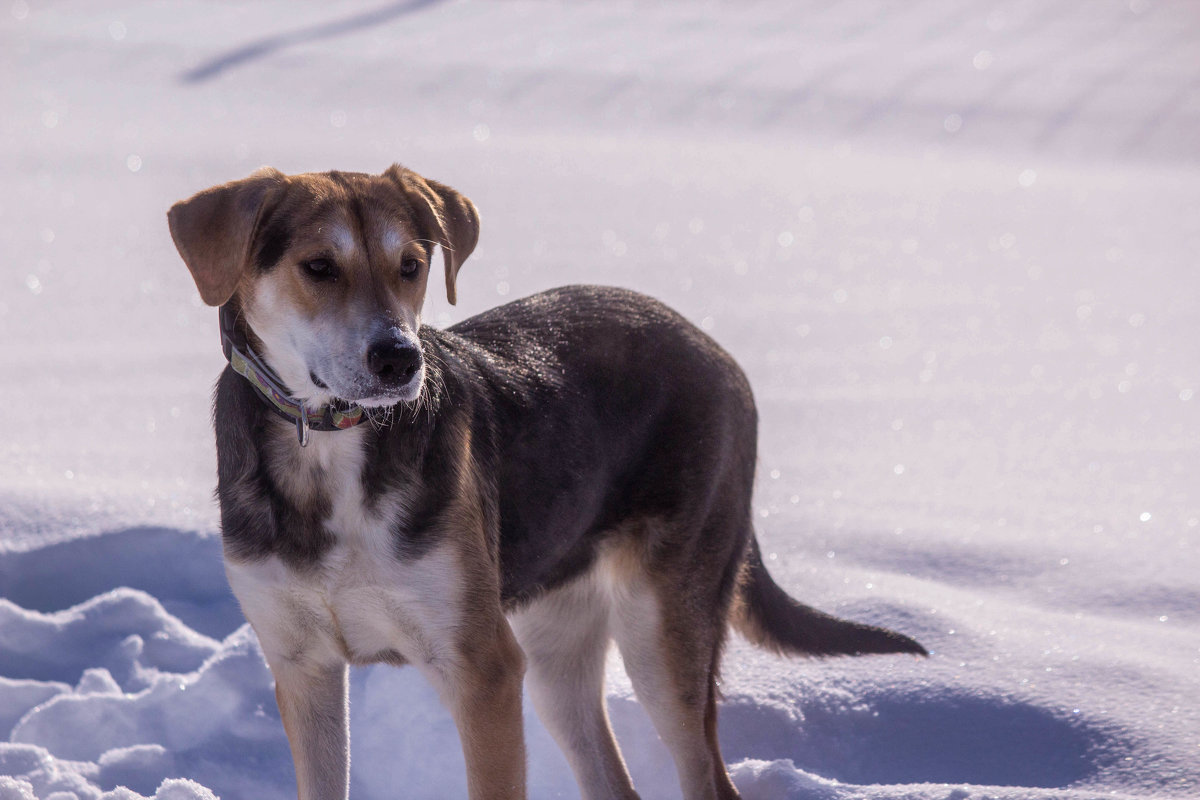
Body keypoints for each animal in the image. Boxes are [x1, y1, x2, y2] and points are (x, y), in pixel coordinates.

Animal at [164, 164, 921, 800]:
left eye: (411, 267)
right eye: (318, 267)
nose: (399, 359)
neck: (328, 445)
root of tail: (716, 351)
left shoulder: (483, 668)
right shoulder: (303, 667)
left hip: (660, 631)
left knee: (707, 778)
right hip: (556, 649)